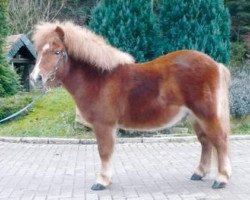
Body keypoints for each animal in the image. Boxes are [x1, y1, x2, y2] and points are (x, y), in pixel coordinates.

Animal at [30, 21, 231, 191]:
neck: (99, 78)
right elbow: (108, 151)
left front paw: (101, 181)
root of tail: (215, 64)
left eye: (57, 52)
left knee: (220, 141)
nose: (35, 78)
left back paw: (221, 179)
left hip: (207, 115)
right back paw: (199, 173)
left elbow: (104, 151)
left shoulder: (103, 125)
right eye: (39, 52)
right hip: (195, 117)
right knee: (205, 142)